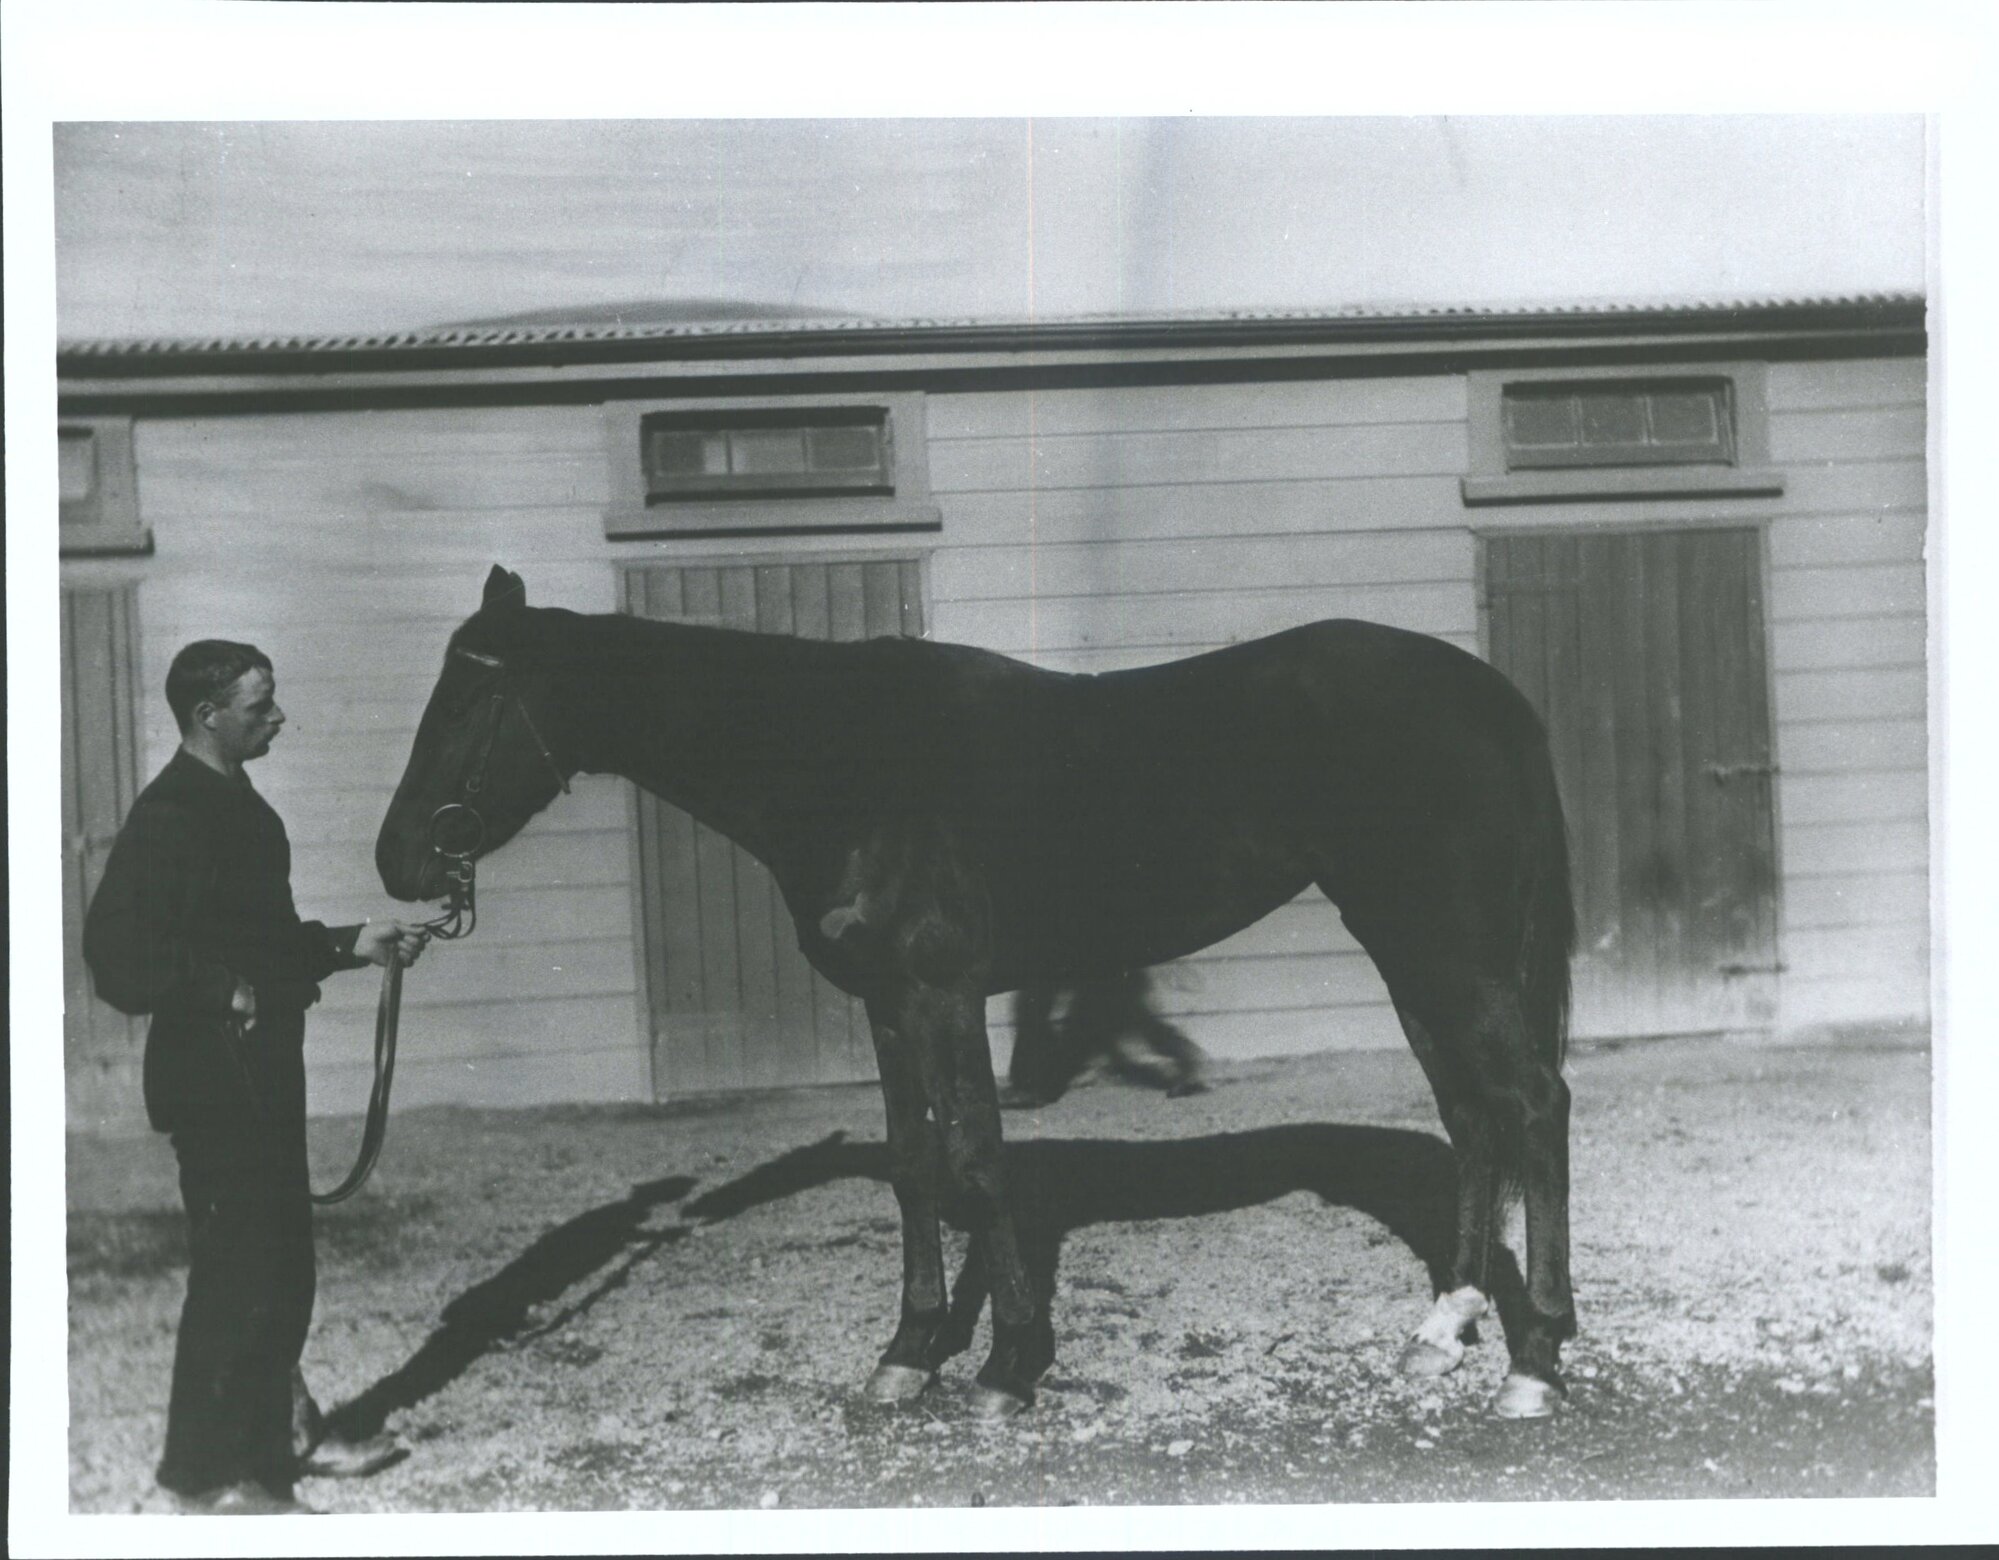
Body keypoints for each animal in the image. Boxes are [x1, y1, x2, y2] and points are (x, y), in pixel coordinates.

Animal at [376, 565, 1577, 1420]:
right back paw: (1442, 1331)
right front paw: (907, 1356)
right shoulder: (886, 1003)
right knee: (1471, 1115)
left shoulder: (946, 992)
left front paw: (1008, 1366)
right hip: (1409, 947)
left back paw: (1536, 1360)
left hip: (1448, 948)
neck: (848, 761)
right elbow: (915, 1164)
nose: (397, 862)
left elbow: (982, 1160)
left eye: (474, 698)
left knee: (1532, 1106)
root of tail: (1497, 698)